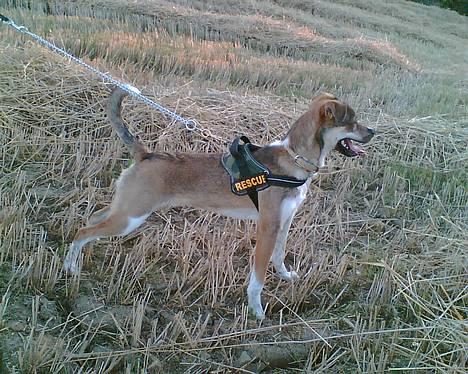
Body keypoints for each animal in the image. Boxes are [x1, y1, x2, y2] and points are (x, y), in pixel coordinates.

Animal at [64, 87, 374, 318]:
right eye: (351, 121)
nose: (372, 132)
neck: (292, 161)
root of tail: (146, 154)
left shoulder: (284, 222)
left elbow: (279, 256)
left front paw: (285, 277)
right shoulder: (267, 228)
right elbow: (257, 279)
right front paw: (257, 312)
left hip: (124, 210)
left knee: (91, 220)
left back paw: (76, 262)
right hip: (130, 217)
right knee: (83, 231)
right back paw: (69, 268)